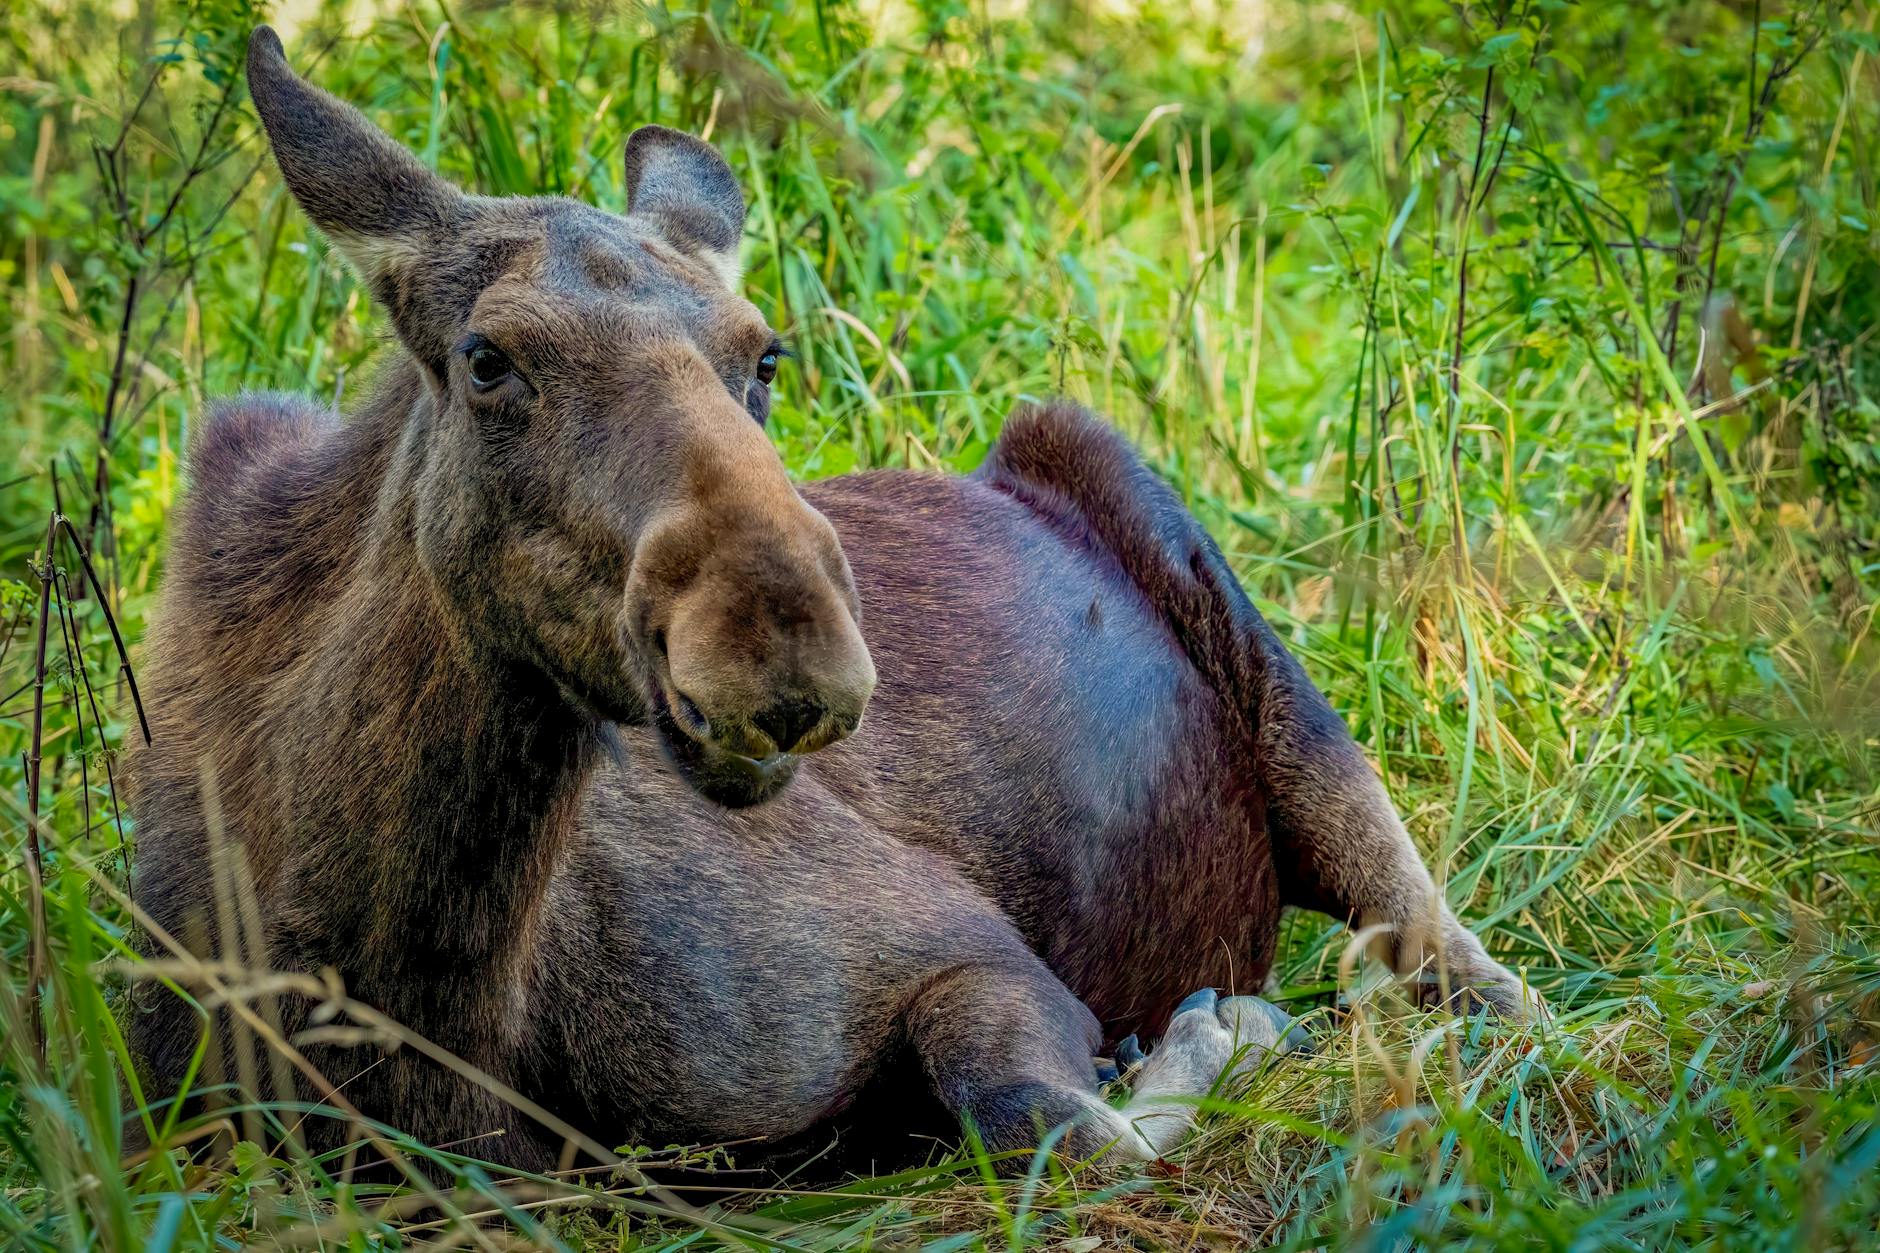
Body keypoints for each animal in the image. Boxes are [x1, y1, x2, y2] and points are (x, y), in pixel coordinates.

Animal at [127, 26, 1543, 1177]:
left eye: (764, 355)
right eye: (487, 359)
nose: (782, 654)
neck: (410, 977)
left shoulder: (963, 945)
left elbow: (1052, 1125)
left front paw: (1211, 1030)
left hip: (1226, 614)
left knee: (1457, 955)